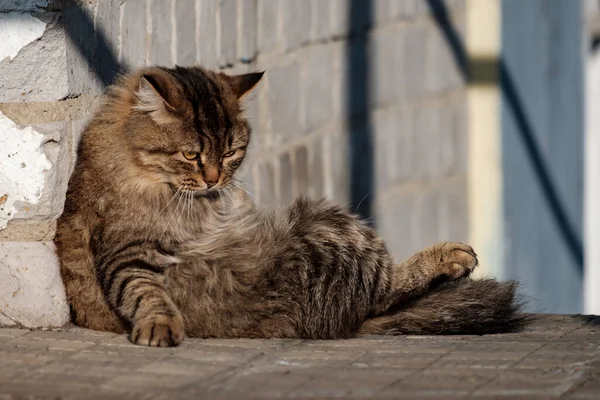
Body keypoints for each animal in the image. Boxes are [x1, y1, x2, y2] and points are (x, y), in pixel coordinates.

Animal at [55, 65, 524, 346]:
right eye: (191, 155)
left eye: (231, 153)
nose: (215, 179)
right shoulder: (127, 253)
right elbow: (146, 293)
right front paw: (160, 326)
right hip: (332, 227)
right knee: (387, 288)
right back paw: (451, 257)